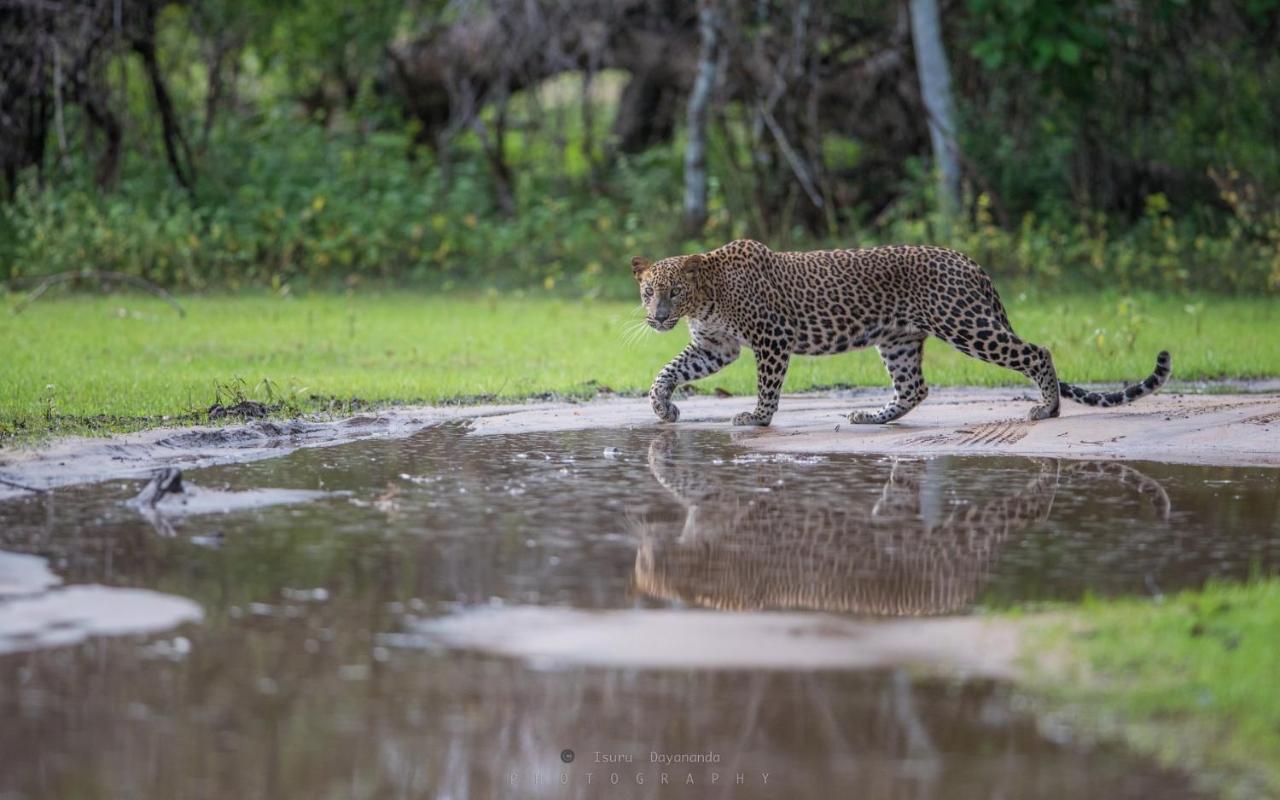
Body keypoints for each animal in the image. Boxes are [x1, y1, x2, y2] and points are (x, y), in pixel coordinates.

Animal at [629, 235, 1172, 424]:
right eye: (648, 292)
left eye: (672, 291)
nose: (657, 316)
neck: (707, 297)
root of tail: (970, 261)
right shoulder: (716, 347)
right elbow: (667, 370)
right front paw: (664, 407)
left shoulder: (771, 339)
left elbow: (767, 385)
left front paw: (757, 419)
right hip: (899, 339)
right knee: (915, 388)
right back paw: (874, 417)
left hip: (966, 324)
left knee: (1037, 352)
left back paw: (1048, 409)